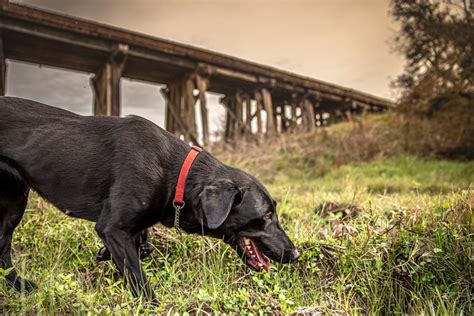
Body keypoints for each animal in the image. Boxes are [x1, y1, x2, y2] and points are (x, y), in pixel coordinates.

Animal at [0, 97, 300, 304]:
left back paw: (19, 286)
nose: (296, 254)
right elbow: (138, 276)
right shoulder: (113, 228)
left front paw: (105, 253)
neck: (176, 176)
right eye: (267, 216)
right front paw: (153, 304)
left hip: (14, 201)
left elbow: (144, 246)